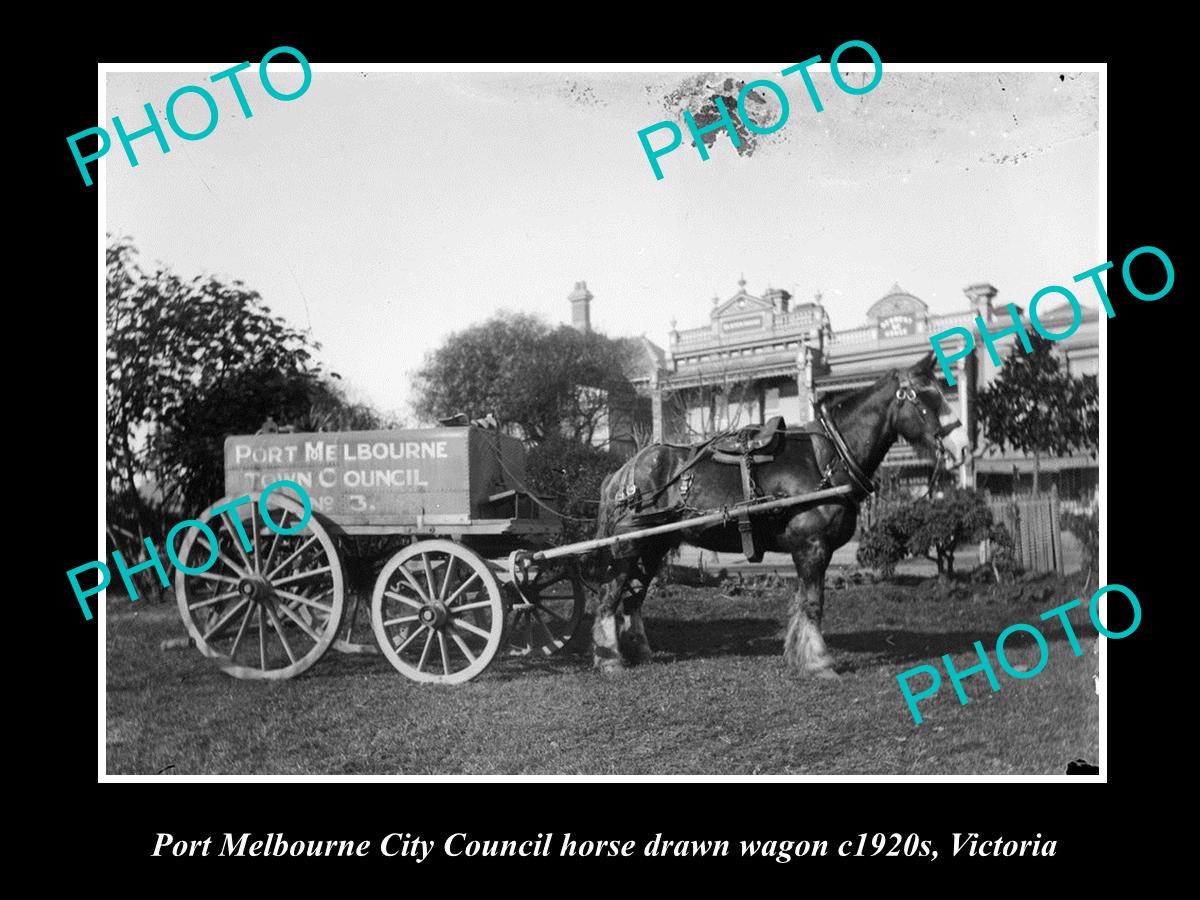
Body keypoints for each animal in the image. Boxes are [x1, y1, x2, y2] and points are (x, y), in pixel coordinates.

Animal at [590, 348, 974, 681]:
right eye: (926, 396)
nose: (965, 448)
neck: (829, 456)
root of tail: (623, 472)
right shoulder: (812, 547)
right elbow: (813, 605)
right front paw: (819, 662)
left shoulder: (811, 551)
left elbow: (802, 603)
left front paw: (797, 655)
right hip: (628, 547)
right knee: (610, 596)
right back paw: (609, 659)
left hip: (653, 545)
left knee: (633, 599)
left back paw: (639, 652)